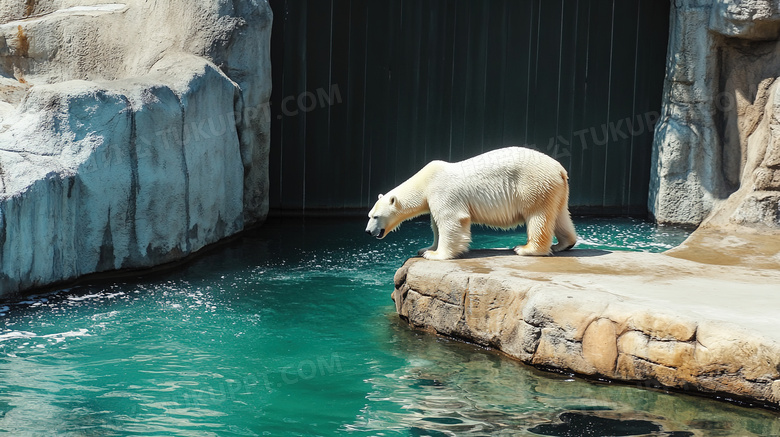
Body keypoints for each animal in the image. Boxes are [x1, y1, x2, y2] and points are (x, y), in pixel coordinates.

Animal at [362, 148, 576, 260]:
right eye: (369, 216)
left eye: (375, 216)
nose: (368, 232)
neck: (424, 182)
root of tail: (559, 169)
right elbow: (436, 225)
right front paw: (426, 248)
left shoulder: (442, 191)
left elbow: (451, 220)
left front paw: (434, 255)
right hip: (556, 189)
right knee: (560, 215)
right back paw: (563, 244)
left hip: (533, 185)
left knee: (538, 216)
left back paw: (525, 249)